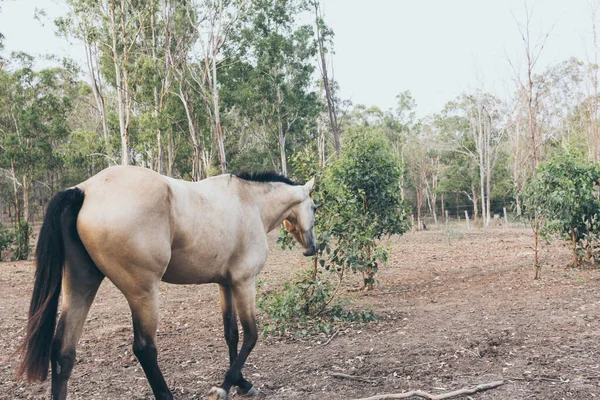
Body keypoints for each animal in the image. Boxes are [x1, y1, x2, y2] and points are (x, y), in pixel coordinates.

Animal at [16, 164, 316, 398]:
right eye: (315, 206)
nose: (312, 248)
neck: (249, 202)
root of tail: (84, 190)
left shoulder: (225, 284)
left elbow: (230, 334)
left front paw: (241, 383)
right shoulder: (244, 282)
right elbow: (251, 335)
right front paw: (224, 387)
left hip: (81, 285)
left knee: (63, 351)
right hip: (143, 293)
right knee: (145, 348)